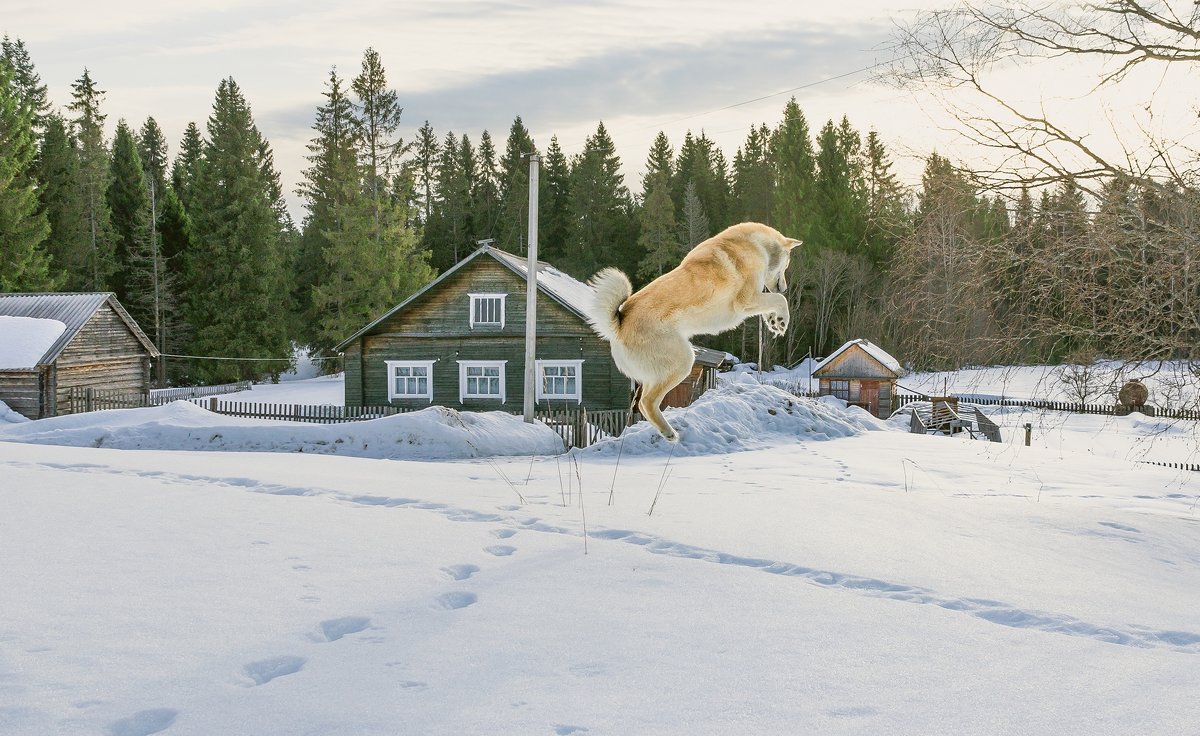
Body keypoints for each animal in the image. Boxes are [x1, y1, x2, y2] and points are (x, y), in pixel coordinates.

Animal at [583, 222, 801, 441]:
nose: (784, 287)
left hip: (660, 370)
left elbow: (771, 305)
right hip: (683, 361)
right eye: (788, 264)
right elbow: (779, 300)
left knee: (643, 402)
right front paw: (782, 320)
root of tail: (620, 325)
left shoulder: (754, 300)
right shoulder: (747, 300)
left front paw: (775, 322)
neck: (755, 244)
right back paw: (669, 432)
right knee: (647, 402)